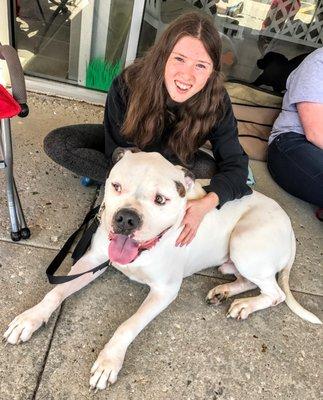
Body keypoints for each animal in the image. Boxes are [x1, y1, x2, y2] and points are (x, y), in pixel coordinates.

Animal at [3, 150, 322, 390]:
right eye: (116, 186)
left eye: (160, 200)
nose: (126, 218)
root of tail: (289, 226)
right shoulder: (92, 262)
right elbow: (56, 292)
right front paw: (30, 318)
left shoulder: (164, 291)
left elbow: (127, 325)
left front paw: (109, 361)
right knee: (251, 281)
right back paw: (224, 291)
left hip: (244, 243)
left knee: (276, 293)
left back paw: (244, 305)